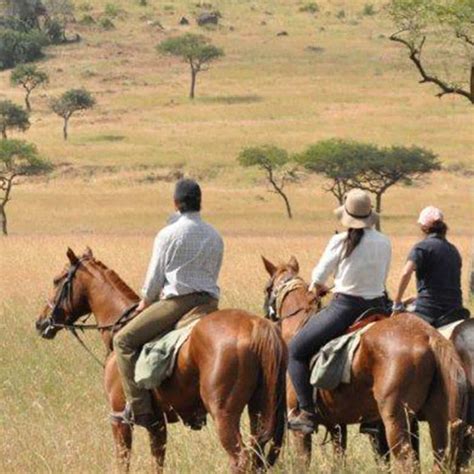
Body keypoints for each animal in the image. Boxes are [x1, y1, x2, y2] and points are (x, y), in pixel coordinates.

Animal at [34, 248, 286, 474]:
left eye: (57, 280)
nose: (40, 322)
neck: (120, 324)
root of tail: (256, 326)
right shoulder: (157, 424)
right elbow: (157, 462)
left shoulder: (119, 420)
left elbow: (123, 463)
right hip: (258, 410)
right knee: (257, 456)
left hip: (224, 414)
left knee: (240, 458)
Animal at [262, 258, 468, 472]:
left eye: (267, 288)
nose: (267, 315)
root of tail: (428, 336)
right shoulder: (337, 424)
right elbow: (340, 459)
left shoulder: (300, 430)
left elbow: (303, 461)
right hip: (438, 418)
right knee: (439, 459)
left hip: (396, 420)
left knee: (407, 461)